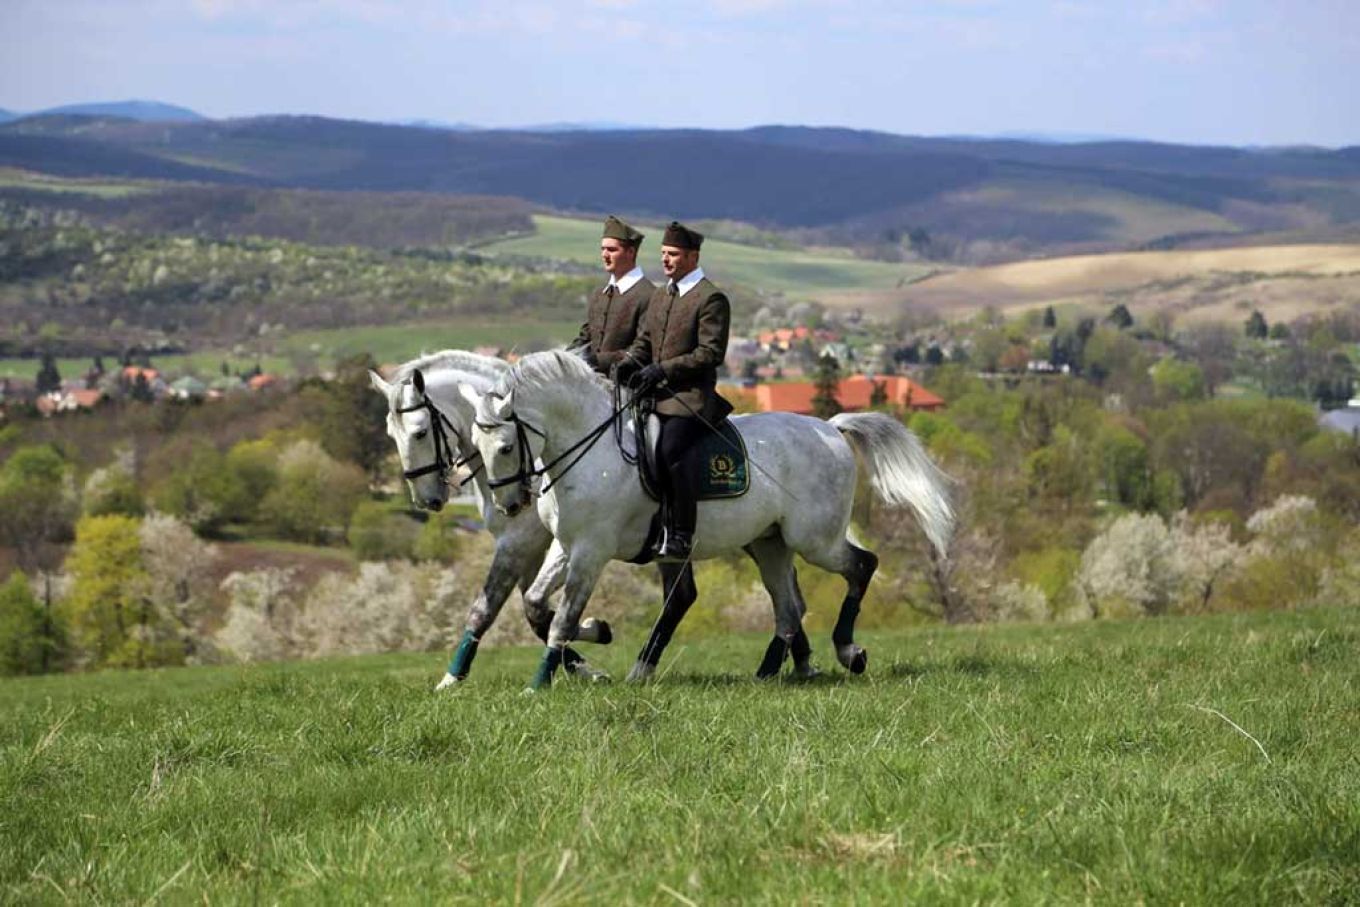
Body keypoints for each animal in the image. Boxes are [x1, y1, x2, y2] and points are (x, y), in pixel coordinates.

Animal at [473, 350, 962, 690]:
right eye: (476, 448)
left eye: (505, 447)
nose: (509, 505)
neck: (592, 449)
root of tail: (829, 428)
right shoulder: (565, 545)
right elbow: (535, 604)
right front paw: (598, 632)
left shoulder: (592, 551)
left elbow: (561, 618)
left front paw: (543, 680)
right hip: (770, 542)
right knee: (788, 606)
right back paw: (768, 672)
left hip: (814, 539)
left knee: (861, 566)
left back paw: (848, 651)